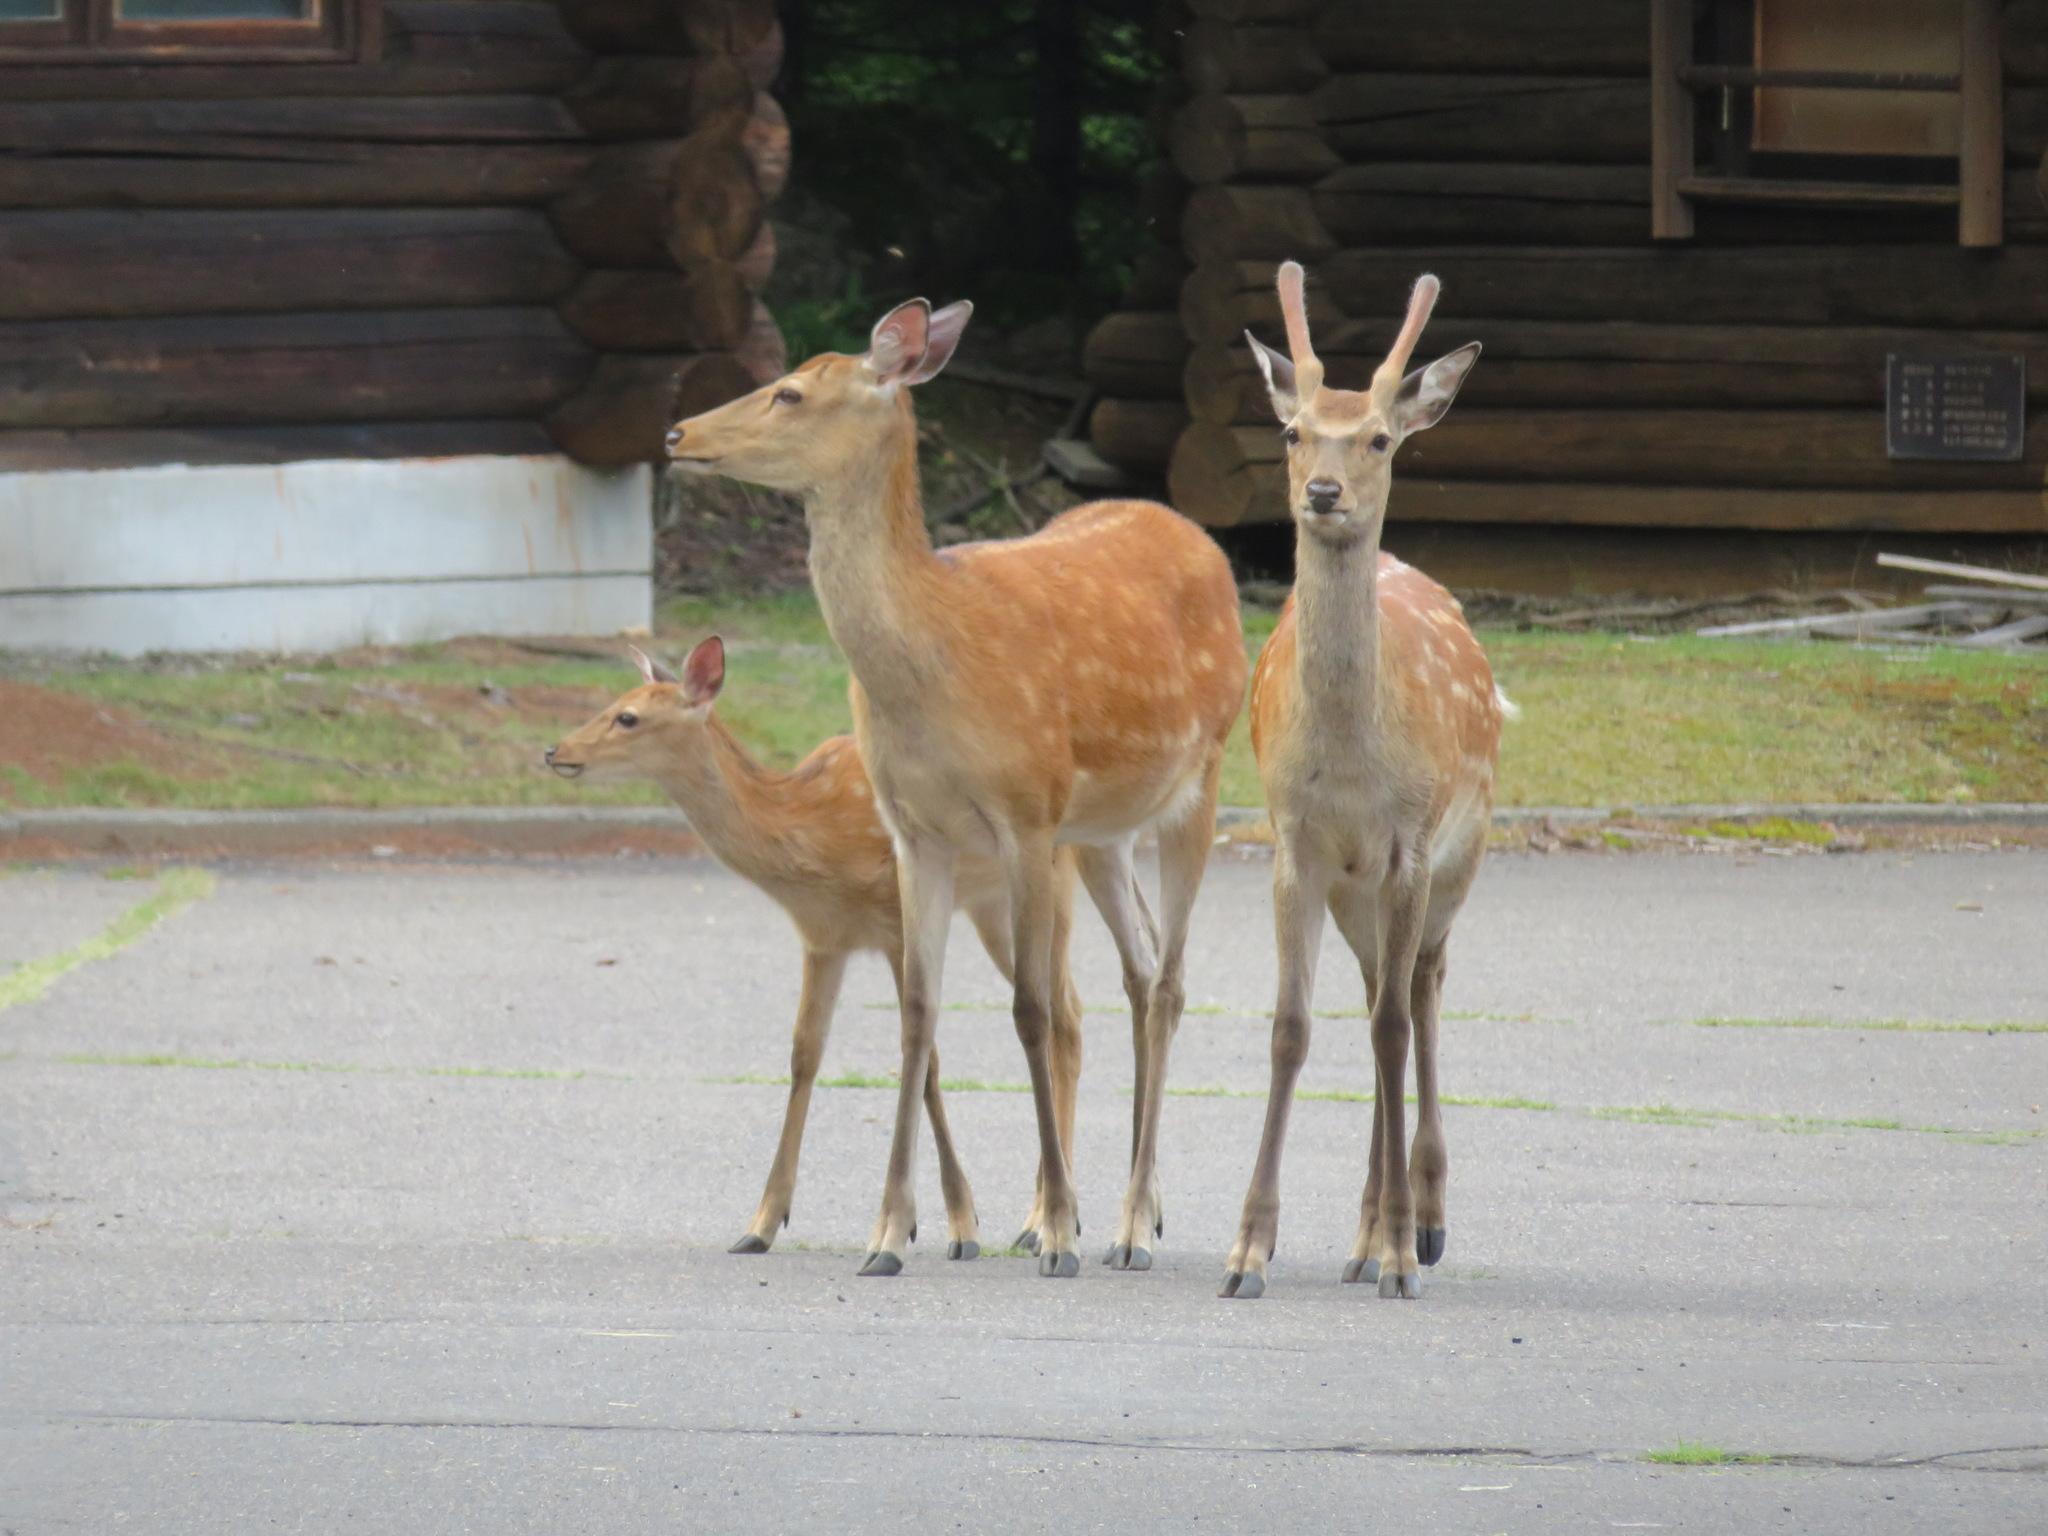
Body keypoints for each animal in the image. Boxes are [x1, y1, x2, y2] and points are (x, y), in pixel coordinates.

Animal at [545, 635, 1156, 1260]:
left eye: (627, 717)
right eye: (613, 703)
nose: (554, 751)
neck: (808, 830)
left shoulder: (893, 921)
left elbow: (928, 1061)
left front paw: (956, 1224)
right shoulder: (823, 938)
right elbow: (804, 1054)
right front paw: (762, 1222)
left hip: (1050, 879)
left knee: (1068, 1012)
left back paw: (1046, 1222)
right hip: (989, 907)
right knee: (1069, 1010)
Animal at [664, 298, 1246, 1279]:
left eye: (789, 392)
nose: (676, 433)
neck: (934, 668)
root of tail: (1202, 538)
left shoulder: (1025, 812)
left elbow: (1030, 1011)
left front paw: (1057, 1234)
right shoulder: (915, 829)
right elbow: (917, 1013)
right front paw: (889, 1235)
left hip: (1198, 777)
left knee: (1165, 982)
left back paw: (1125, 1226)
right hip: (1100, 831)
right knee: (1138, 971)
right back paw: (1136, 1213)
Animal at [1218, 263, 1510, 1302]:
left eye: (1380, 436)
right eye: (1293, 429)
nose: (1324, 491)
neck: (1350, 768)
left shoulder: (1409, 843)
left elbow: (1388, 1030)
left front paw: (1399, 1255)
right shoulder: (1292, 841)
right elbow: (1291, 1027)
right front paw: (1248, 1250)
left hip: (1462, 856)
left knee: (1418, 991)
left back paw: (1418, 1223)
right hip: (1357, 892)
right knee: (1380, 985)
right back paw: (1361, 1231)